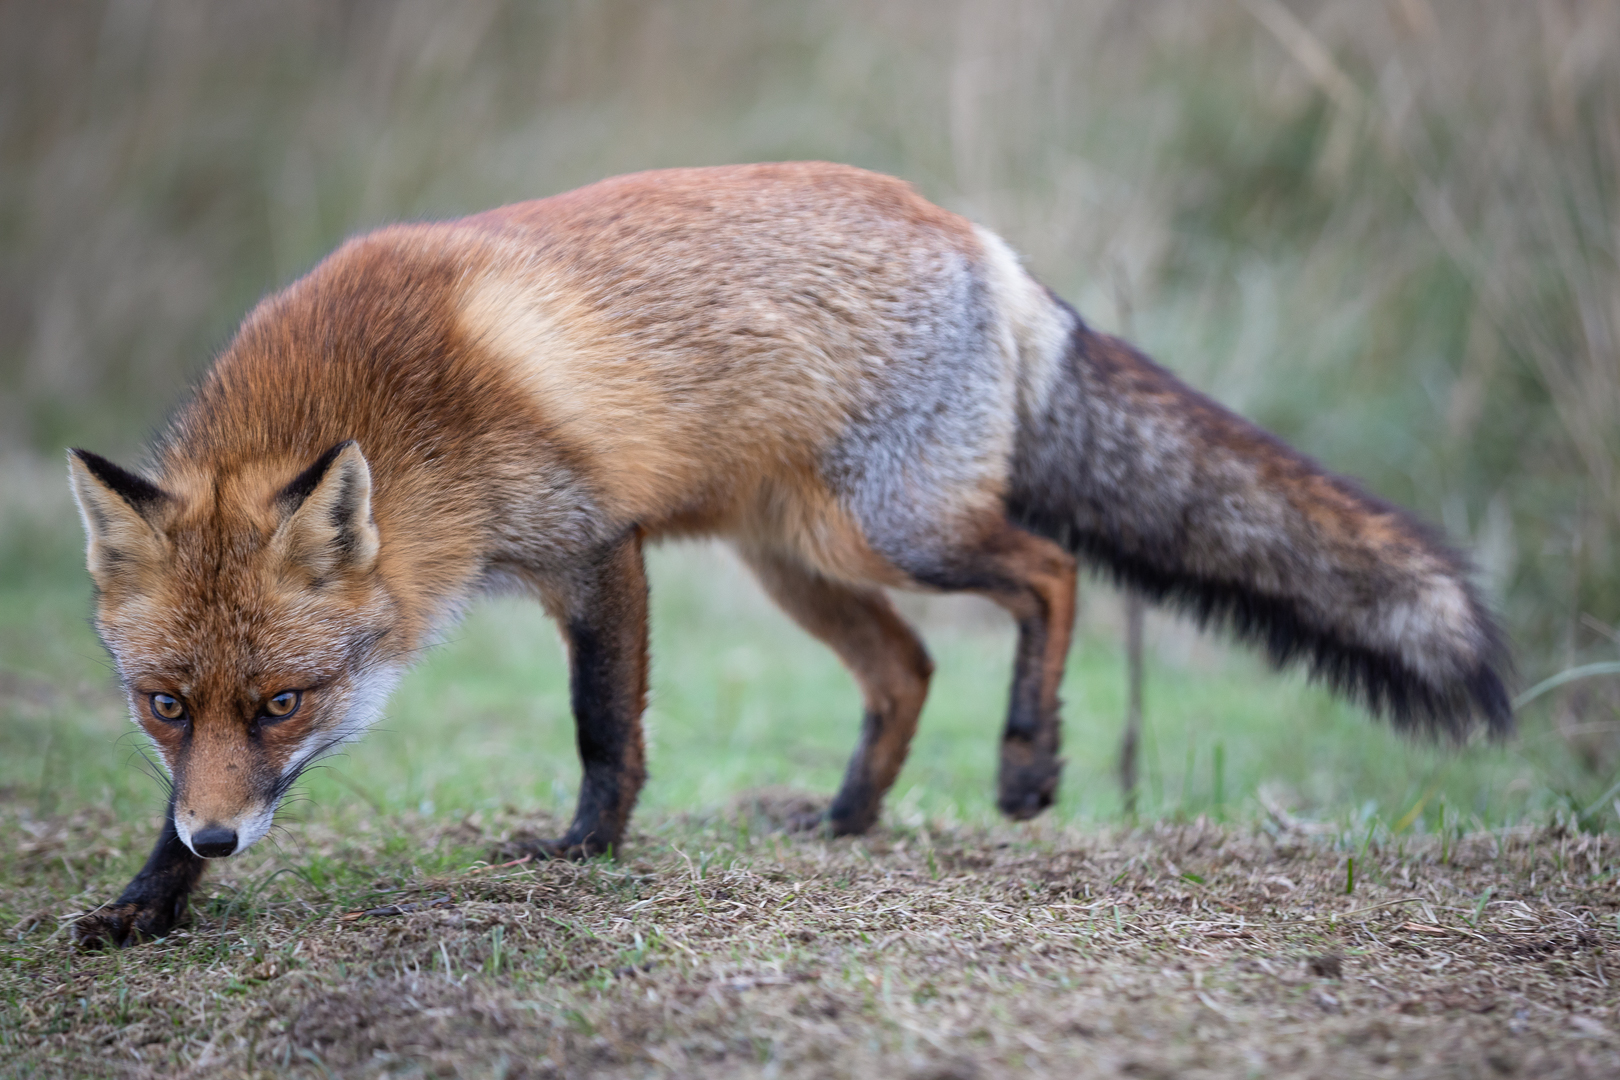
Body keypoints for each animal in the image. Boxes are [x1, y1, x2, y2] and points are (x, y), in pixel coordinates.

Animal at [63, 160, 1503, 945]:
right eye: (165, 703)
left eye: (286, 702)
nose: (220, 842)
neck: (388, 409)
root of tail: (984, 244)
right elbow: (159, 802)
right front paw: (150, 898)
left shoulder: (593, 547)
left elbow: (603, 724)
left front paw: (584, 849)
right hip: (799, 559)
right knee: (908, 668)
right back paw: (849, 818)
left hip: (896, 528)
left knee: (1052, 573)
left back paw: (1026, 761)